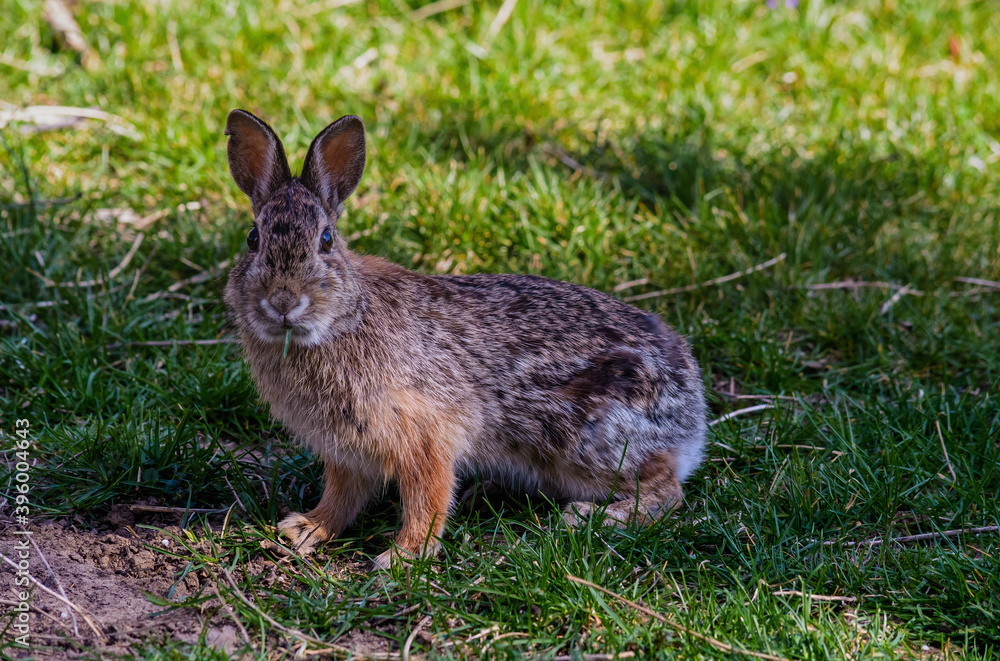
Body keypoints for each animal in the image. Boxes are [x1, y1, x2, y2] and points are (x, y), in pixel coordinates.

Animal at [223, 109, 708, 569]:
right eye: (252, 239)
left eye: (326, 240)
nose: (283, 301)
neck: (344, 319)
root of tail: (693, 410)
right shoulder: (347, 451)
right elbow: (341, 497)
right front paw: (306, 529)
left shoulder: (423, 434)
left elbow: (428, 498)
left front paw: (404, 556)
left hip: (589, 437)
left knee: (666, 492)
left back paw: (591, 516)